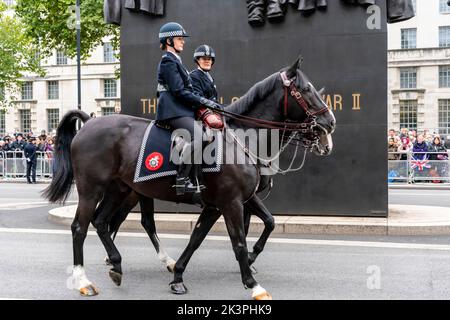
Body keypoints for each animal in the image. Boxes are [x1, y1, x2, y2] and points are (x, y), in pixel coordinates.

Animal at [44, 57, 336, 300]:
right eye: (306, 89)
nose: (329, 125)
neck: (242, 141)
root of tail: (89, 122)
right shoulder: (231, 202)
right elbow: (239, 242)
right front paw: (253, 284)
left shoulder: (221, 204)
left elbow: (205, 236)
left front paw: (178, 276)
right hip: (92, 189)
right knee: (81, 227)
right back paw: (84, 280)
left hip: (120, 190)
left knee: (104, 222)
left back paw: (117, 264)